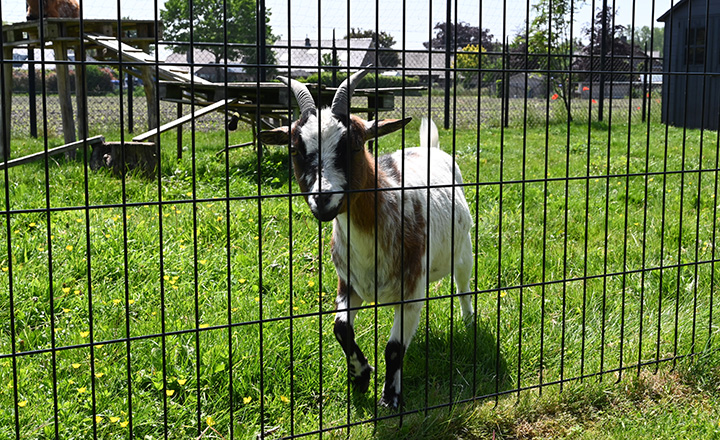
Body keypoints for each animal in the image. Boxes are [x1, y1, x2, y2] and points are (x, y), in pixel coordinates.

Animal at [258, 68, 475, 409]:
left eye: (356, 145)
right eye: (295, 149)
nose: (323, 198)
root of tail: (430, 148)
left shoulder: (411, 288)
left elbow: (394, 348)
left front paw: (390, 397)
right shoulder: (349, 282)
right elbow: (340, 328)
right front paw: (360, 375)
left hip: (464, 249)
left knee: (463, 286)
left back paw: (468, 321)